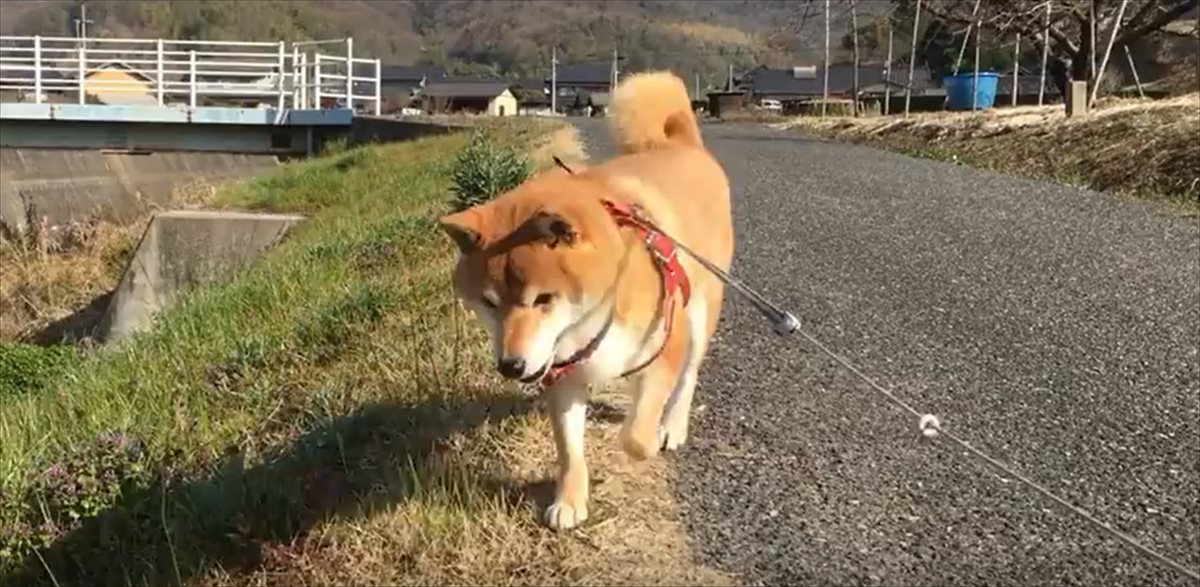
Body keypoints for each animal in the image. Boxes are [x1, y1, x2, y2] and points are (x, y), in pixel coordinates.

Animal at [434, 69, 729, 530]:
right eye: (489, 303)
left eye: (544, 299)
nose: (510, 366)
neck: (590, 322)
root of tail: (681, 145)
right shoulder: (562, 378)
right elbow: (570, 451)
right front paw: (570, 502)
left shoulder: (665, 346)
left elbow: (635, 435)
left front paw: (644, 439)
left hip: (700, 310)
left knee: (689, 376)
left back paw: (673, 425)